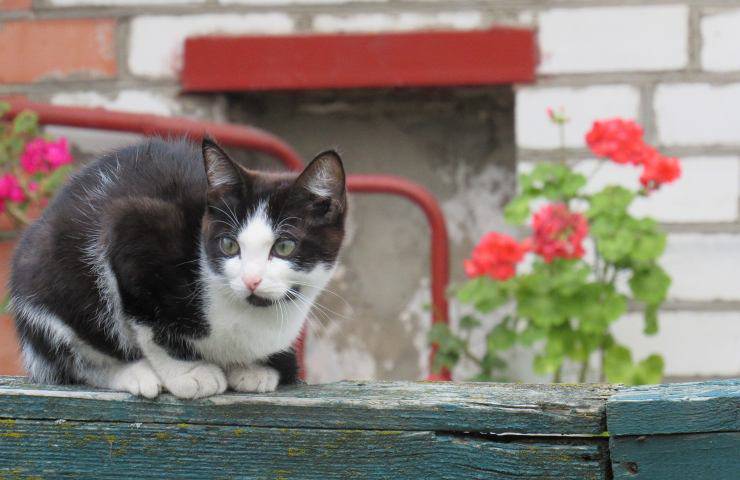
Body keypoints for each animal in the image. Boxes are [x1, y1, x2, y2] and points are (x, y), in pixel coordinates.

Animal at [10, 137, 346, 400]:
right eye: (229, 245)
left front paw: (255, 368)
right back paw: (134, 373)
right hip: (52, 289)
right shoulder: (132, 231)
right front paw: (189, 372)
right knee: (79, 355)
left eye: (284, 247)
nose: (251, 280)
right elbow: (150, 324)